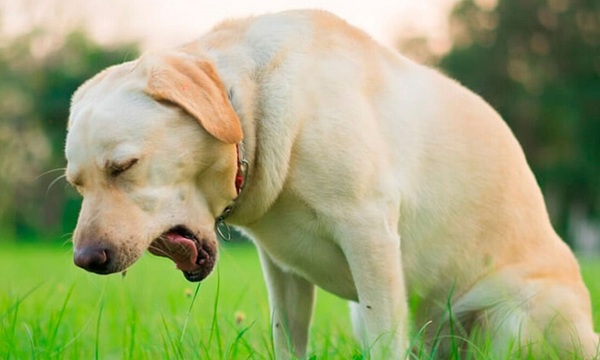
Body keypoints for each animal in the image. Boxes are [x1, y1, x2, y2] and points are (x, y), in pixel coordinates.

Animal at [63, 9, 596, 358]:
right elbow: (289, 339)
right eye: (77, 185)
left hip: (517, 314)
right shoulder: (281, 271)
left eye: (124, 166)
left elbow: (384, 344)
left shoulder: (370, 235)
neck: (251, 110)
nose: (86, 260)